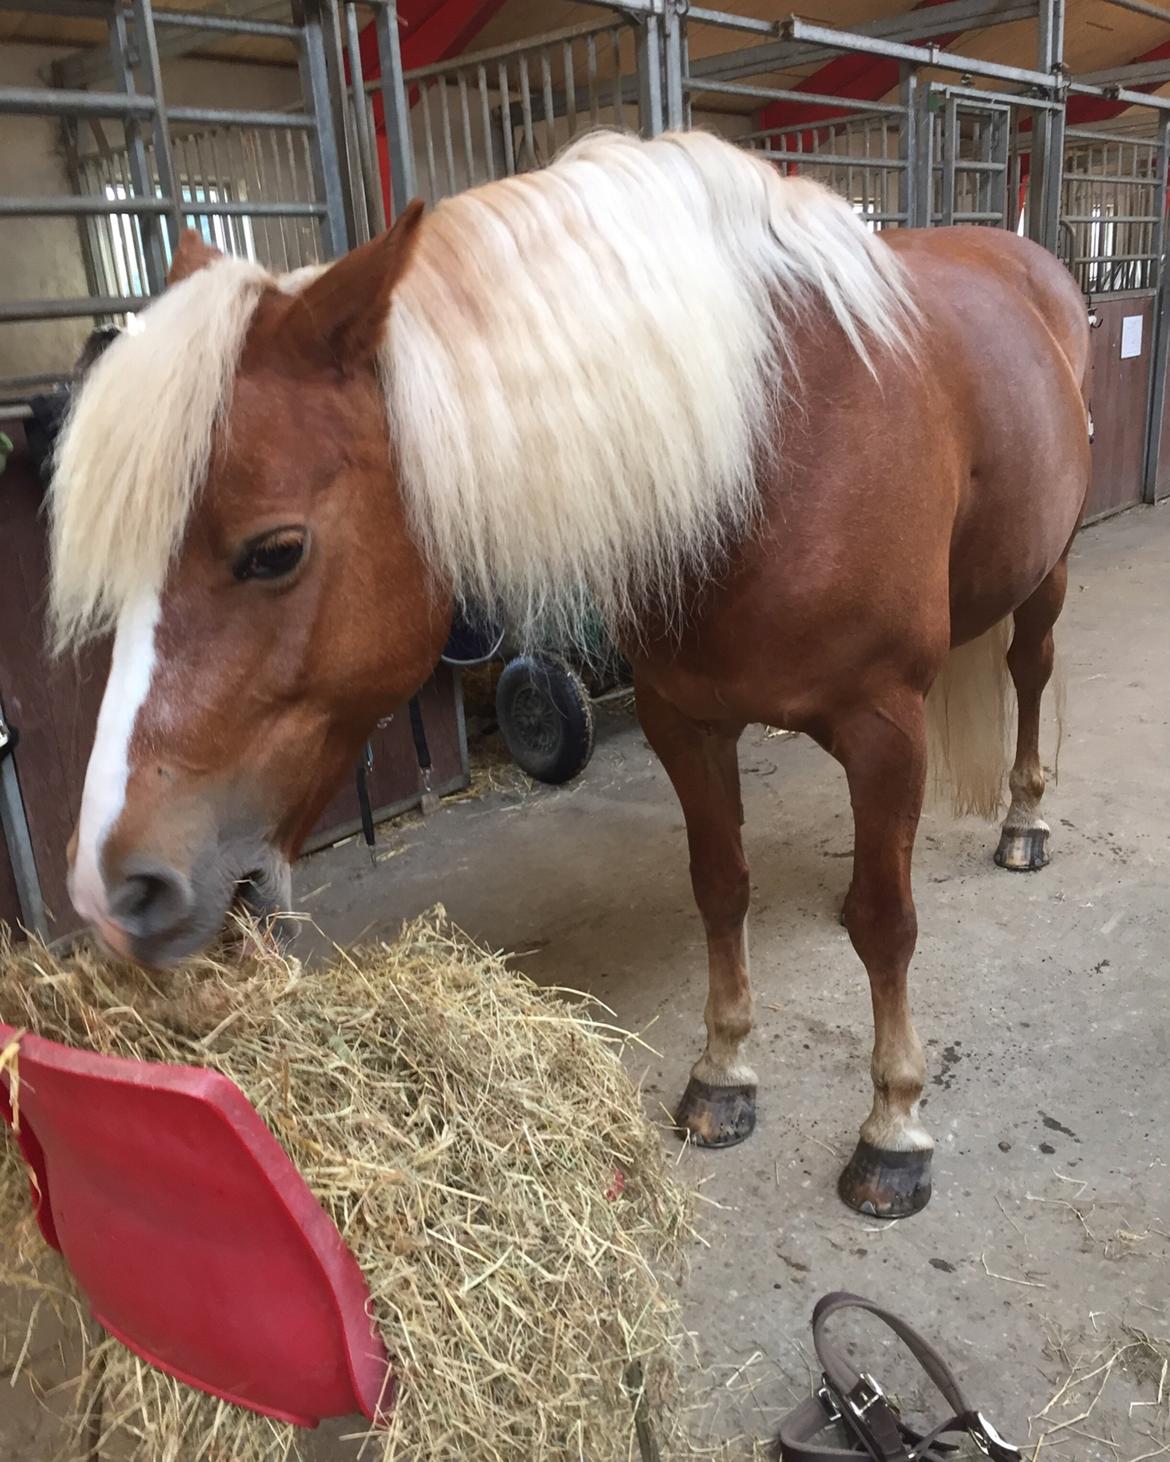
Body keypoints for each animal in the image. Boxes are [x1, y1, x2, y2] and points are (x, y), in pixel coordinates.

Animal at [50, 131, 1093, 1216]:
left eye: (275, 550)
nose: (110, 888)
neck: (775, 440)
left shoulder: (883, 725)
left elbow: (885, 924)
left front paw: (893, 1127)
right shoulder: (685, 720)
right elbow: (721, 886)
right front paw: (723, 1075)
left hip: (1049, 575)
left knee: (1030, 674)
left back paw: (1024, 822)